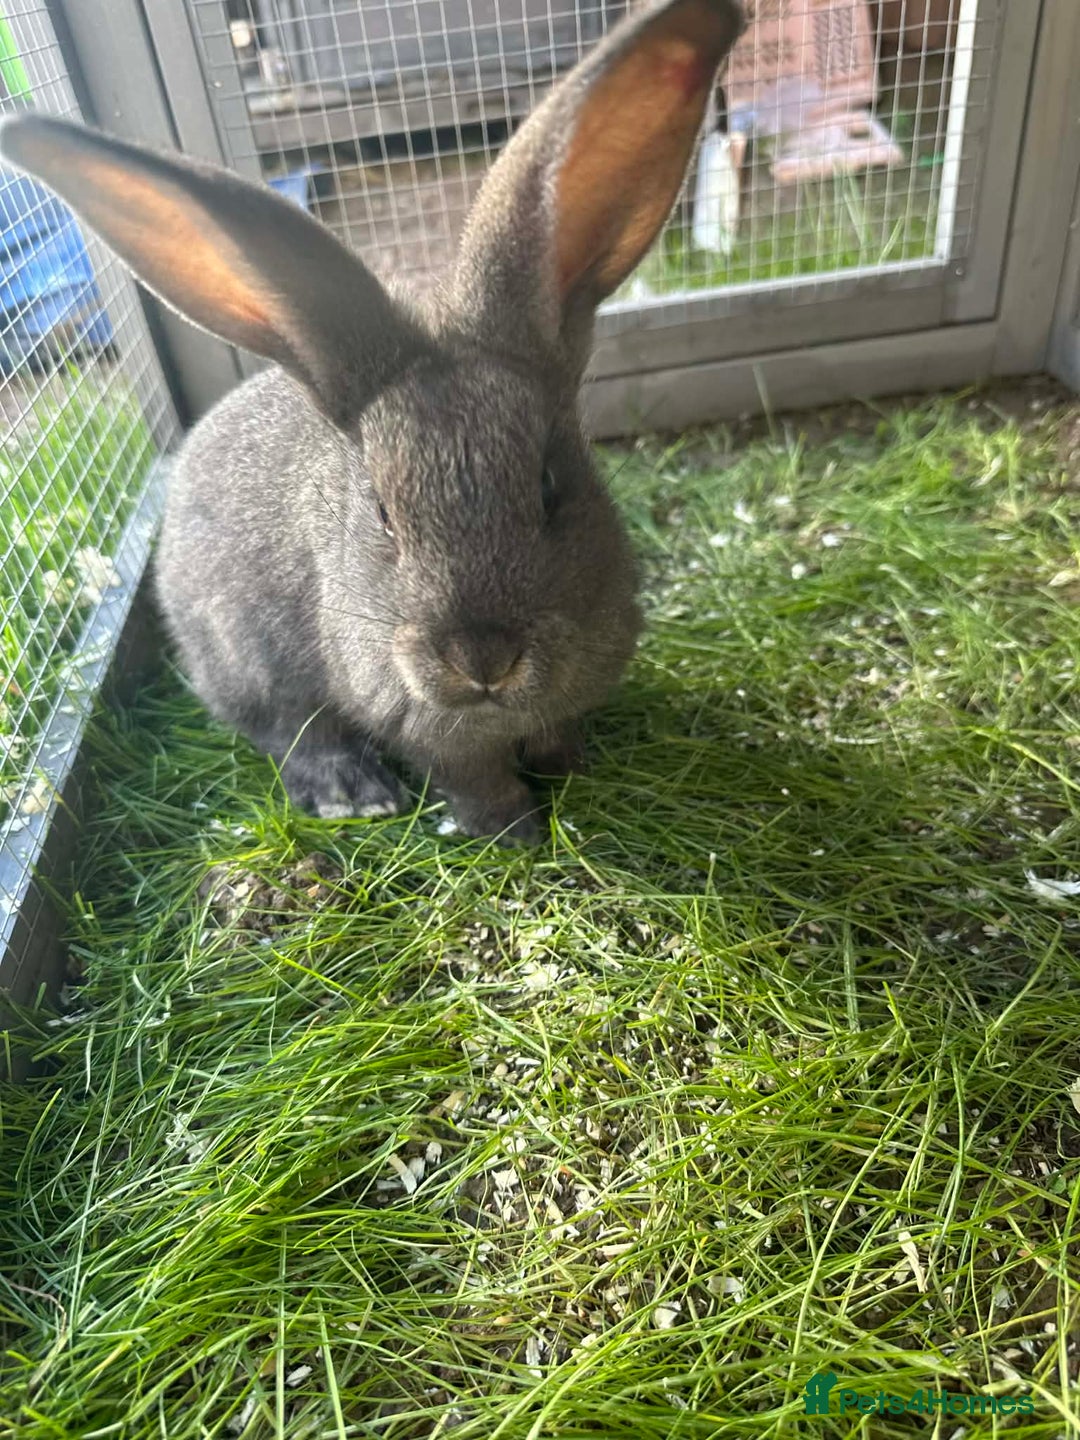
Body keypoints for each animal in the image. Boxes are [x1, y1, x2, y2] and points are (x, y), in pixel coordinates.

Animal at [0, 0, 745, 843]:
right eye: (383, 515)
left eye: (550, 486)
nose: (482, 659)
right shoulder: (423, 723)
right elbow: (475, 781)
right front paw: (515, 832)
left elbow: (556, 736)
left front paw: (573, 774)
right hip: (249, 660)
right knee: (286, 730)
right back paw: (353, 790)